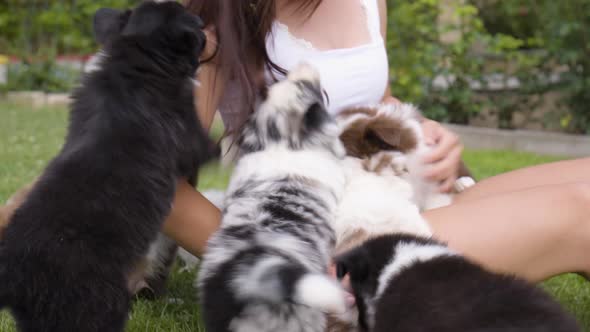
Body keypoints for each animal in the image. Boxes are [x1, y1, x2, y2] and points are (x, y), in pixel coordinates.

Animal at [0, 1, 215, 330]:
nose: (206, 30)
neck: (135, 60)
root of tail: (13, 277)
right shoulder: (191, 135)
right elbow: (211, 146)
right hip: (99, 302)